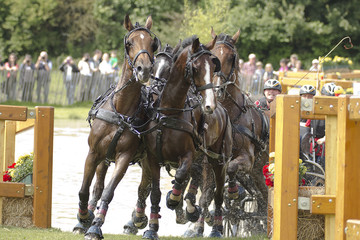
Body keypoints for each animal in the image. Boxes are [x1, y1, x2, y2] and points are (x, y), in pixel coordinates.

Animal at [72, 15, 160, 240]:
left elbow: (108, 192)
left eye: (152, 44)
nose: (144, 69)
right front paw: (84, 217)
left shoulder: (124, 157)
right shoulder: (94, 153)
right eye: (129, 43)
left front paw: (96, 226)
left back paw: (138, 218)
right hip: (105, 158)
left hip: (146, 159)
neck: (120, 110)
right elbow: (86, 189)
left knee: (144, 187)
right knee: (97, 186)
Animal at [132, 36, 233, 240]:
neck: (169, 111)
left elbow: (181, 176)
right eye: (195, 67)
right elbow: (154, 193)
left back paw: (216, 228)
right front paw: (152, 228)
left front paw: (174, 199)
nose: (209, 104)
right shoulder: (153, 158)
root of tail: (222, 109)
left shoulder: (188, 156)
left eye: (213, 66)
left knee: (217, 194)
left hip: (218, 162)